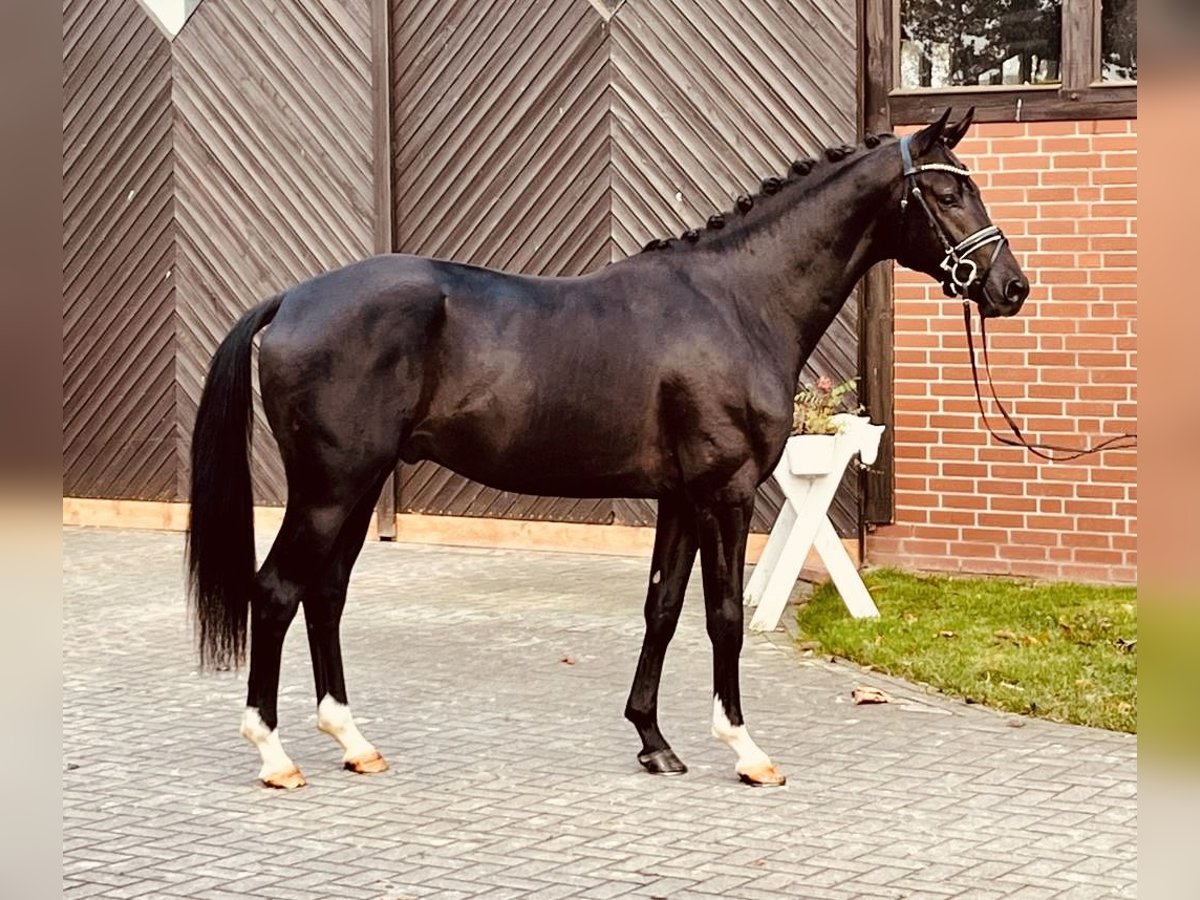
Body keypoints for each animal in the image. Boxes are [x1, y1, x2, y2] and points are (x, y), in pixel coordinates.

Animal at [189, 111, 1032, 787]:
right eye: (948, 193)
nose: (1011, 287)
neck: (736, 301)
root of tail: (291, 301)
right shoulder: (726, 493)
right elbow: (723, 614)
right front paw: (745, 749)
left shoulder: (680, 498)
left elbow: (661, 609)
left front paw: (653, 741)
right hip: (330, 488)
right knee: (277, 592)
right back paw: (274, 755)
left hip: (358, 487)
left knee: (325, 593)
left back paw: (352, 740)